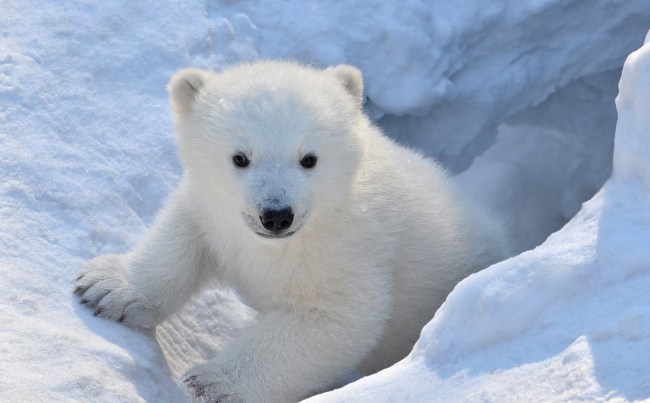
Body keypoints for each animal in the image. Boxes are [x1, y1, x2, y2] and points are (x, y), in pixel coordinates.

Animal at [75, 61, 508, 402]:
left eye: (308, 158)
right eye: (240, 157)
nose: (276, 215)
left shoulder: (350, 248)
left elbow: (336, 319)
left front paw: (214, 383)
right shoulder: (215, 211)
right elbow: (184, 233)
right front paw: (107, 288)